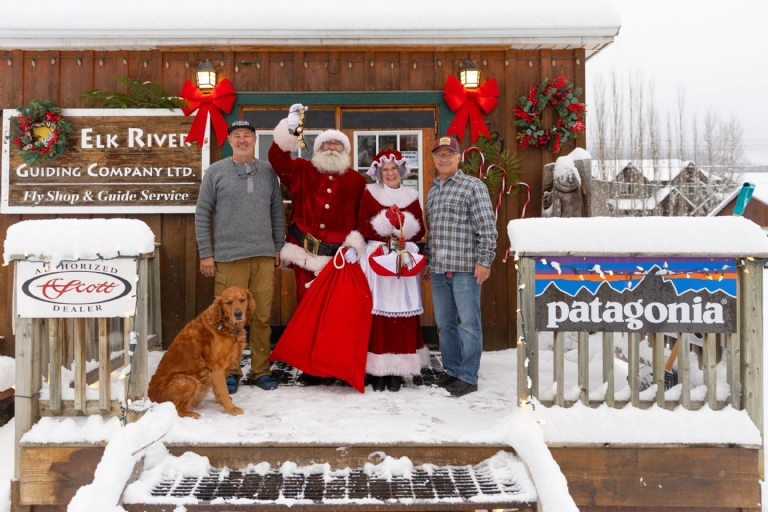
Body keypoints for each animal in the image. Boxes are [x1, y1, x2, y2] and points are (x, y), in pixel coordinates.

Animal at [149, 286, 255, 418]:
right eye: (228, 302)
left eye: (242, 300)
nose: (238, 314)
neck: (224, 326)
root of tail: (151, 399)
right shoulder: (216, 369)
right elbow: (223, 390)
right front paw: (231, 408)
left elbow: (220, 390)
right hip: (187, 380)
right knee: (176, 409)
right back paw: (192, 414)